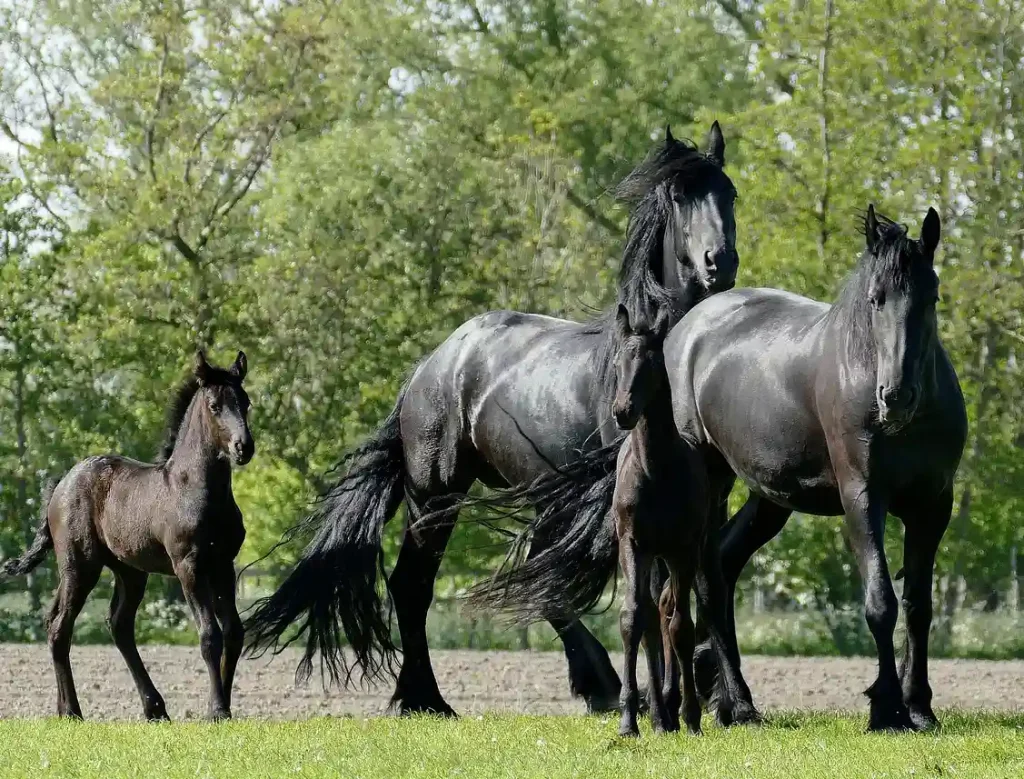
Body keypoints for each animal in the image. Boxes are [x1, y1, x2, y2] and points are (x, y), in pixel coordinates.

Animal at [0, 350, 253, 720]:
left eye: (245, 402)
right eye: (214, 405)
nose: (243, 447)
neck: (196, 488)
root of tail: (61, 484)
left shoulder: (223, 565)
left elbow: (234, 632)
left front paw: (222, 707)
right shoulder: (188, 566)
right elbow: (210, 635)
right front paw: (218, 710)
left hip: (129, 571)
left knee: (114, 625)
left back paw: (151, 708)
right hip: (80, 566)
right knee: (61, 626)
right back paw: (73, 711)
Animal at [245, 122, 745, 716]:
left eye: (730, 193)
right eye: (678, 197)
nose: (720, 261)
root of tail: (430, 366)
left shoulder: (705, 502)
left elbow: (708, 589)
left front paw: (732, 701)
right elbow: (642, 593)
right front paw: (663, 697)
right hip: (435, 494)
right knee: (416, 585)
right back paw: (432, 699)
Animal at [471, 204, 966, 728]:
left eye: (931, 297)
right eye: (876, 299)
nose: (896, 396)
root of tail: (687, 327)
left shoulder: (933, 507)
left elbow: (918, 605)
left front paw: (919, 706)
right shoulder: (862, 500)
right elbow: (880, 602)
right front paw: (887, 708)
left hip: (767, 501)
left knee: (718, 574)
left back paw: (716, 701)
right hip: (710, 490)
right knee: (698, 588)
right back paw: (719, 703)